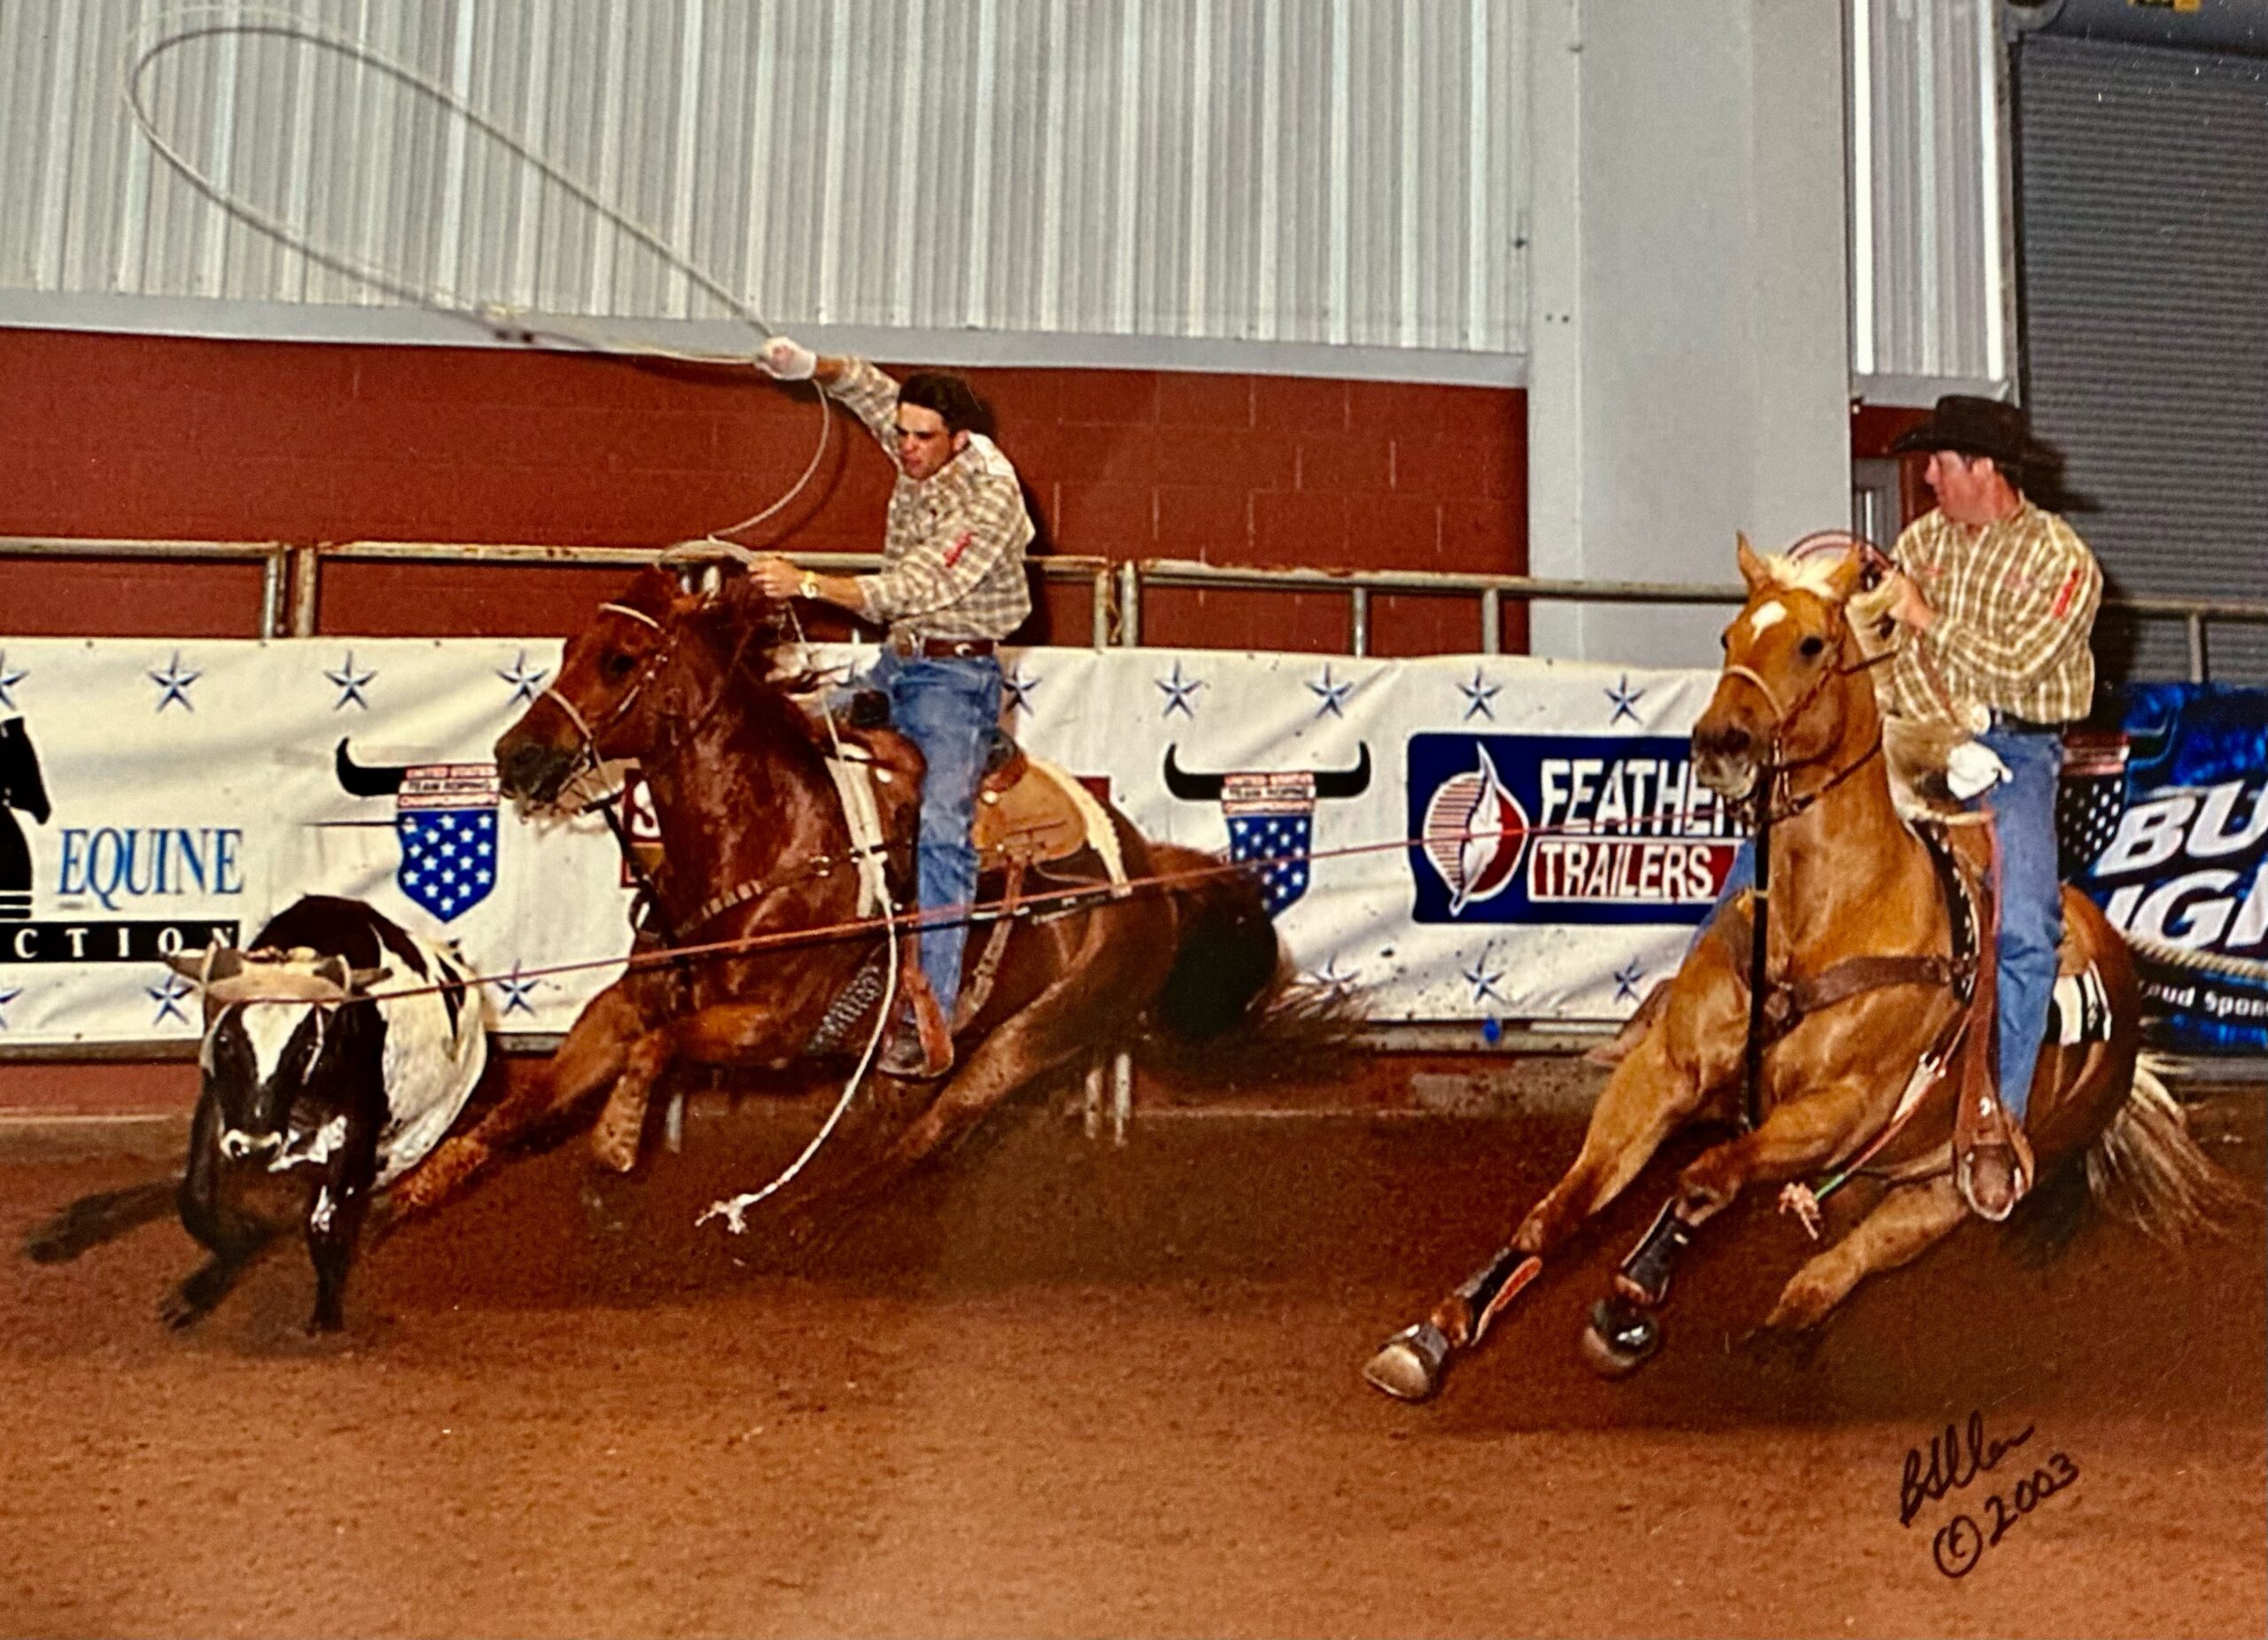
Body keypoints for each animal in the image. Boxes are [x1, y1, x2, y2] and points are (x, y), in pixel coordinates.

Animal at [381, 571, 1324, 1224]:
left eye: (621, 660)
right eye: (572, 645)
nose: (516, 758)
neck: (766, 835)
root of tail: (1147, 863)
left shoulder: (773, 1027)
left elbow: (658, 1050)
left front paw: (614, 1146)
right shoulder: (627, 1000)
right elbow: (528, 1101)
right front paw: (408, 1192)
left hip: (1029, 1039)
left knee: (926, 1140)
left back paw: (798, 1220)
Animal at [1351, 535, 2222, 1397]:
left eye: (1810, 644)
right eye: (1729, 635)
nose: (1719, 743)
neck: (1817, 917)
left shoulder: (1835, 1108)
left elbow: (1702, 1181)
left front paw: (1630, 1299)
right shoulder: (1665, 1071)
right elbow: (1560, 1207)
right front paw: (1430, 1336)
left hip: (1945, 1192)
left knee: (1833, 1271)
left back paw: (1767, 1341)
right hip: (1878, 1171)